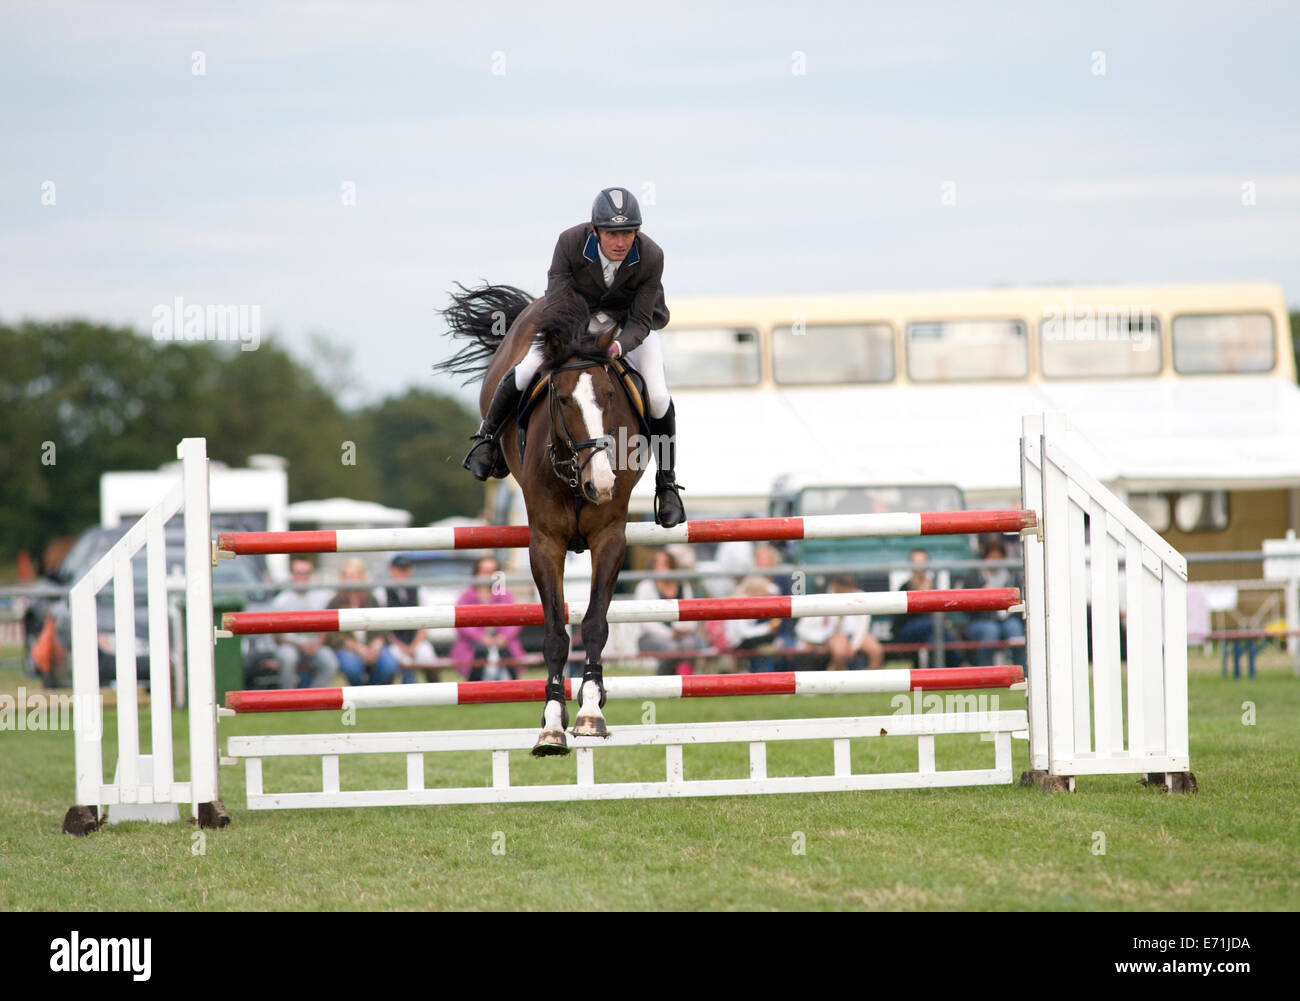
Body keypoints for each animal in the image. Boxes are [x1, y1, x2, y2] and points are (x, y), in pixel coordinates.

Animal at [436, 280, 650, 748]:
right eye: (564, 399)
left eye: (610, 396)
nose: (601, 484)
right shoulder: (546, 544)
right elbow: (553, 634)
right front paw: (552, 723)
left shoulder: (610, 538)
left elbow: (594, 623)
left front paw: (590, 711)